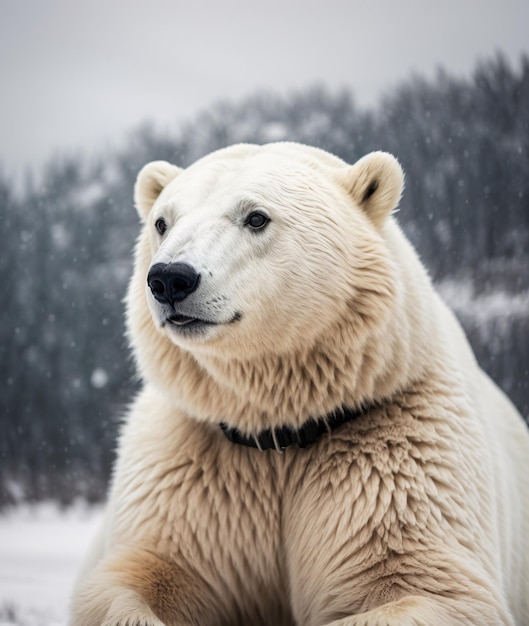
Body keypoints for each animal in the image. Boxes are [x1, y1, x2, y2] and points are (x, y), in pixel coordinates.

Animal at [71, 143, 528, 624]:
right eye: (162, 222)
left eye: (256, 217)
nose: (170, 279)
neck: (278, 427)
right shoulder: (190, 470)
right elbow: (138, 578)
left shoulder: (397, 451)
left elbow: (433, 589)